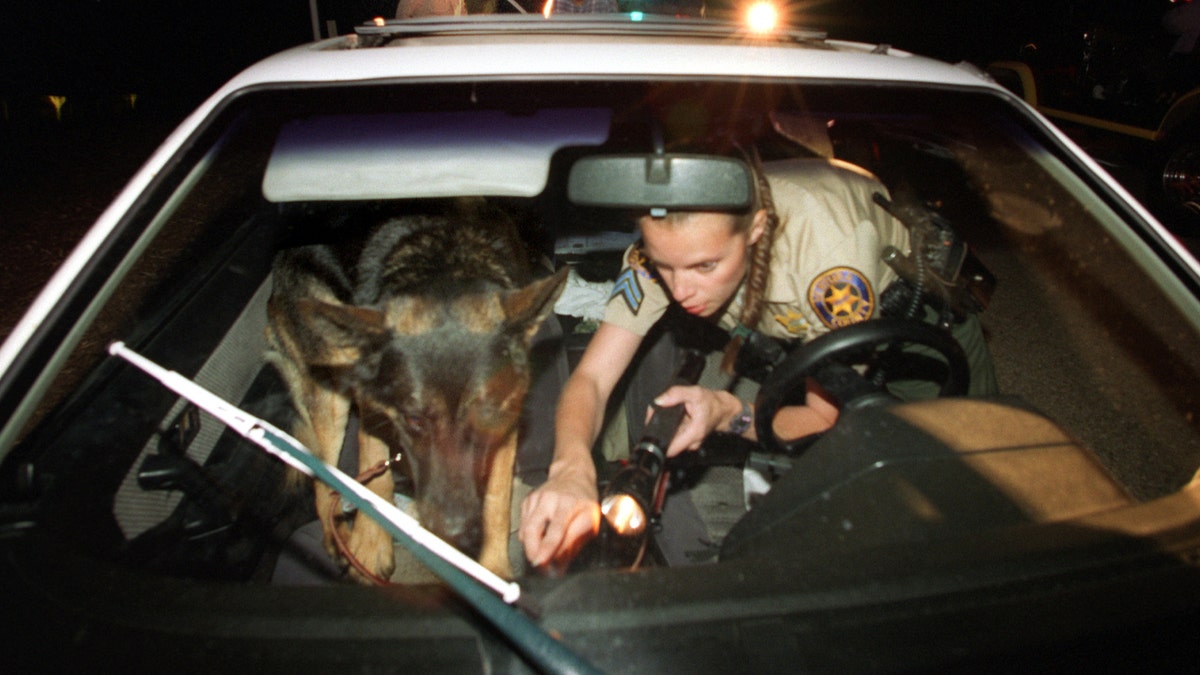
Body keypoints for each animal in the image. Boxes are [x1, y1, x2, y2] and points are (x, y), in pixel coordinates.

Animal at [270, 208, 568, 578]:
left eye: (487, 415)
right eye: (414, 419)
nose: (451, 532)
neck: (444, 260)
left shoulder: (507, 418)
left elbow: (497, 497)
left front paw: (493, 568)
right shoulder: (372, 397)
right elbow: (373, 463)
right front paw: (371, 541)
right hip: (331, 378)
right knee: (322, 473)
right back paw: (337, 535)